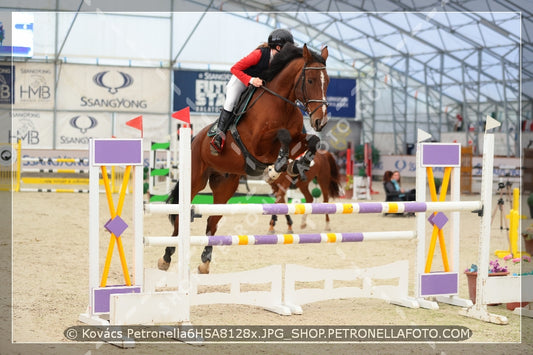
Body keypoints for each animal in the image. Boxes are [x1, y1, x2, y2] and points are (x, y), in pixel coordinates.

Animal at [158, 43, 328, 274]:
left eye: (327, 81)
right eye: (310, 80)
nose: (321, 121)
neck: (281, 103)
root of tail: (195, 138)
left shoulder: (296, 139)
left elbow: (311, 141)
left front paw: (296, 165)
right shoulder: (258, 144)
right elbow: (282, 135)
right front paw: (276, 168)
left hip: (225, 185)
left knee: (212, 221)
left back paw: (205, 261)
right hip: (195, 180)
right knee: (180, 217)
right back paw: (166, 256)